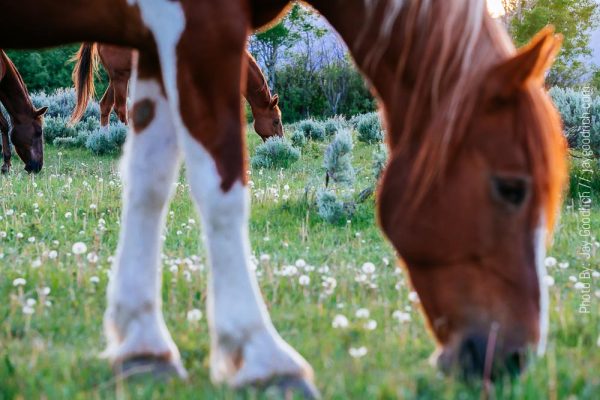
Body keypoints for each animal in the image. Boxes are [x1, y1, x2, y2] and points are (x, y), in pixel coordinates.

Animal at [70, 43, 284, 141]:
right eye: (276, 121)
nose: (280, 140)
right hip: (121, 78)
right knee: (120, 109)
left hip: (118, 78)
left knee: (105, 105)